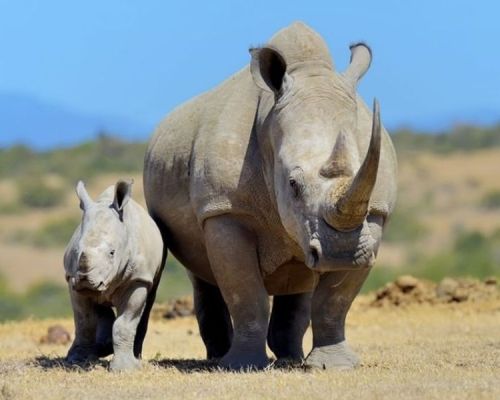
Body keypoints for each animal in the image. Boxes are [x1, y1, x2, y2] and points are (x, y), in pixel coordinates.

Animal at [64, 180, 164, 370]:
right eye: (76, 251)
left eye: (112, 253)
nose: (85, 281)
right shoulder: (71, 279)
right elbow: (84, 322)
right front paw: (78, 361)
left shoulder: (138, 278)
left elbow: (125, 322)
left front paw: (125, 369)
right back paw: (101, 348)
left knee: (147, 304)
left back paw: (135, 357)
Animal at [146, 21, 398, 370]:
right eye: (292, 184)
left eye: (364, 173)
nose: (341, 253)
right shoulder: (225, 209)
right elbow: (245, 292)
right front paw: (241, 366)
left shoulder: (373, 213)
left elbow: (335, 300)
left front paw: (334, 366)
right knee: (202, 274)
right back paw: (219, 358)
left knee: (300, 280)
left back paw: (290, 359)